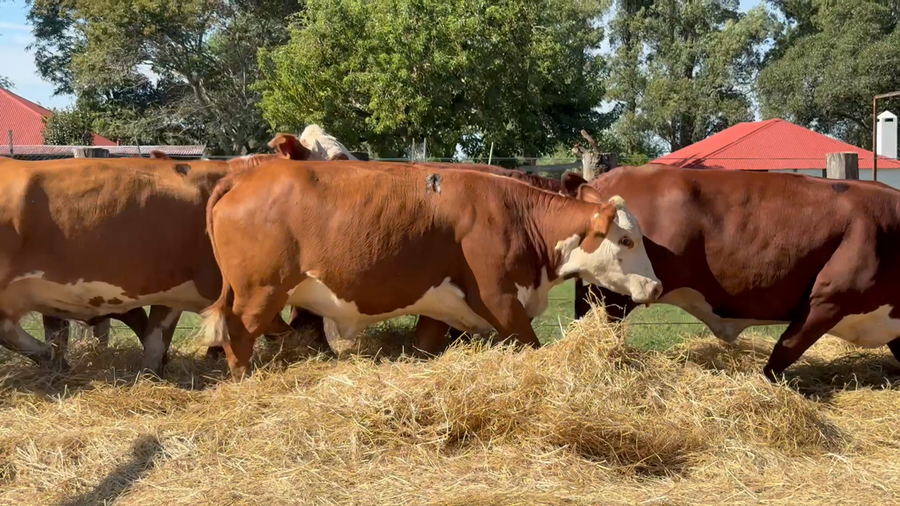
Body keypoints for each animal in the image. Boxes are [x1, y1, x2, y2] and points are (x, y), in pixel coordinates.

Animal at [0, 136, 311, 374]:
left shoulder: (172, 292)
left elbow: (155, 339)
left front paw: (151, 374)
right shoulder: (252, 289)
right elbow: (282, 333)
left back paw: (52, 359)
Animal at [198, 160, 662, 379]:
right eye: (626, 240)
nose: (656, 287)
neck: (515, 213)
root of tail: (245, 177)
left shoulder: (440, 308)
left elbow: (425, 342)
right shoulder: (501, 301)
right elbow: (531, 345)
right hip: (259, 292)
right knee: (238, 332)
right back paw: (243, 378)